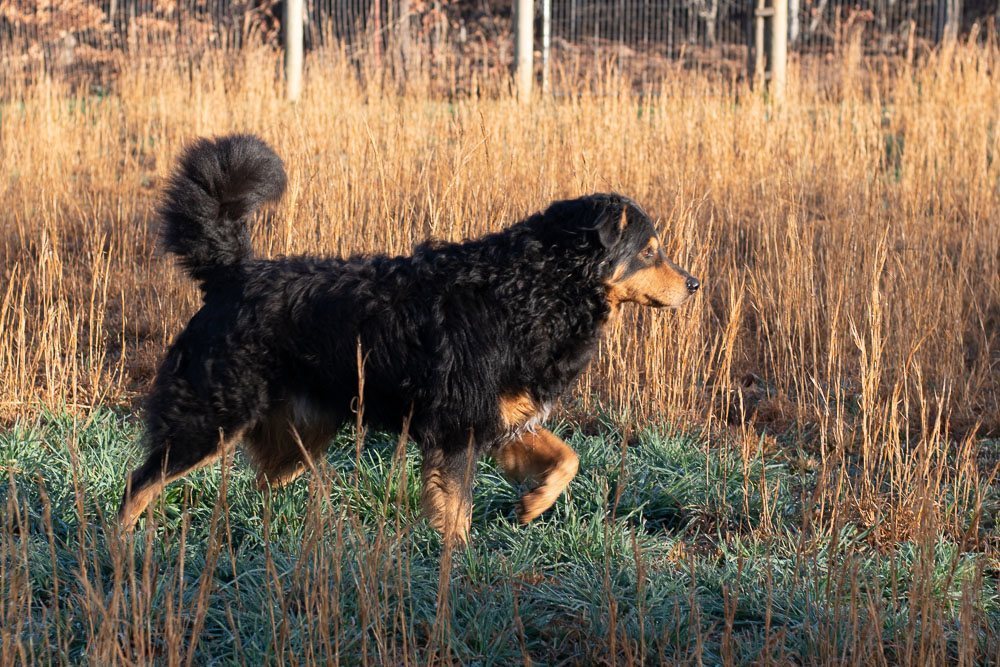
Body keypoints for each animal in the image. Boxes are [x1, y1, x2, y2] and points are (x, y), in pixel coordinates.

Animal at [121, 134, 700, 544]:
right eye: (650, 250)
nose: (694, 284)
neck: (534, 286)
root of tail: (233, 273)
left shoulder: (501, 418)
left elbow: (566, 458)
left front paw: (533, 503)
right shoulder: (458, 429)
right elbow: (457, 512)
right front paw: (457, 567)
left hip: (295, 437)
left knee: (258, 485)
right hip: (209, 420)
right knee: (140, 483)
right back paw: (121, 547)